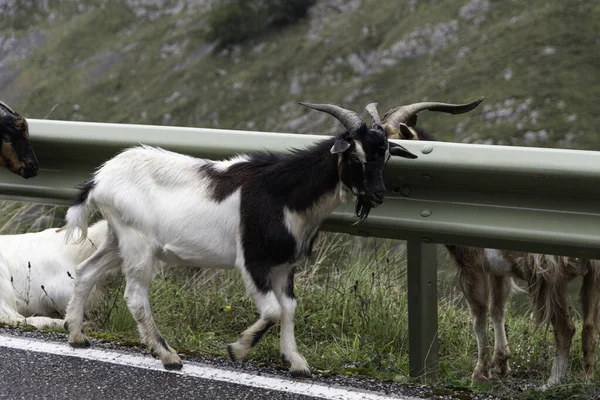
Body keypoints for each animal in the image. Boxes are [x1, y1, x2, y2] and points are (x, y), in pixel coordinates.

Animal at [376, 98, 600, 390]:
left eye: (391, 147)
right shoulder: (498, 270)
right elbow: (497, 310)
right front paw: (501, 364)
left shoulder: (470, 265)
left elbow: (479, 316)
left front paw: (479, 373)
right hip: (592, 276)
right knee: (589, 327)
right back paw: (587, 378)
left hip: (553, 276)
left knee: (566, 327)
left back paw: (552, 382)